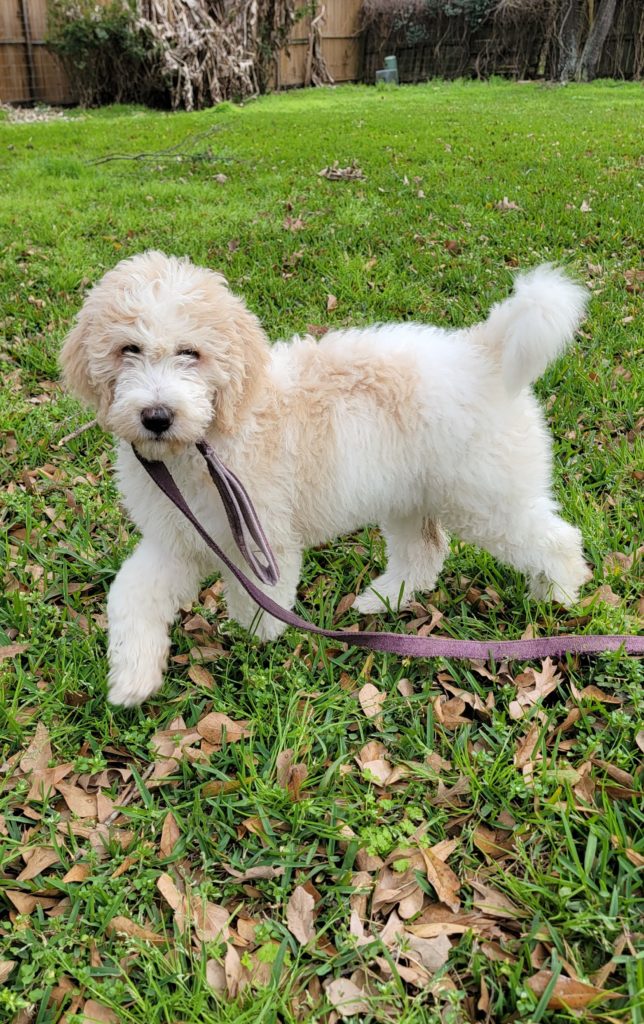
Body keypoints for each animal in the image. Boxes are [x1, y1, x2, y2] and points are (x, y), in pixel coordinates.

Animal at [60, 253, 589, 704]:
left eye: (191, 353)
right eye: (128, 348)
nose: (156, 416)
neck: (208, 438)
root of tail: (485, 350)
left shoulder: (261, 535)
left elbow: (259, 602)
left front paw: (256, 646)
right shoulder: (178, 538)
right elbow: (132, 593)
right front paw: (132, 677)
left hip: (485, 497)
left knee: (555, 538)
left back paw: (559, 595)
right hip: (409, 495)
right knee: (425, 551)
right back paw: (382, 600)